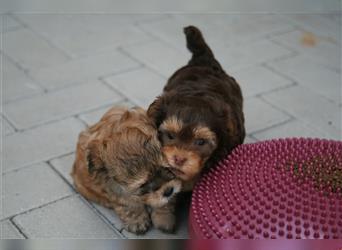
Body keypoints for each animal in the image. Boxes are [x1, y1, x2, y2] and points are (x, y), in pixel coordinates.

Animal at [71, 106, 182, 234]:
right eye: (143, 184)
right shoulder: (117, 190)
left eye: (166, 167)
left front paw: (164, 218)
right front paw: (137, 221)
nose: (168, 191)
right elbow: (129, 204)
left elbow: (166, 202)